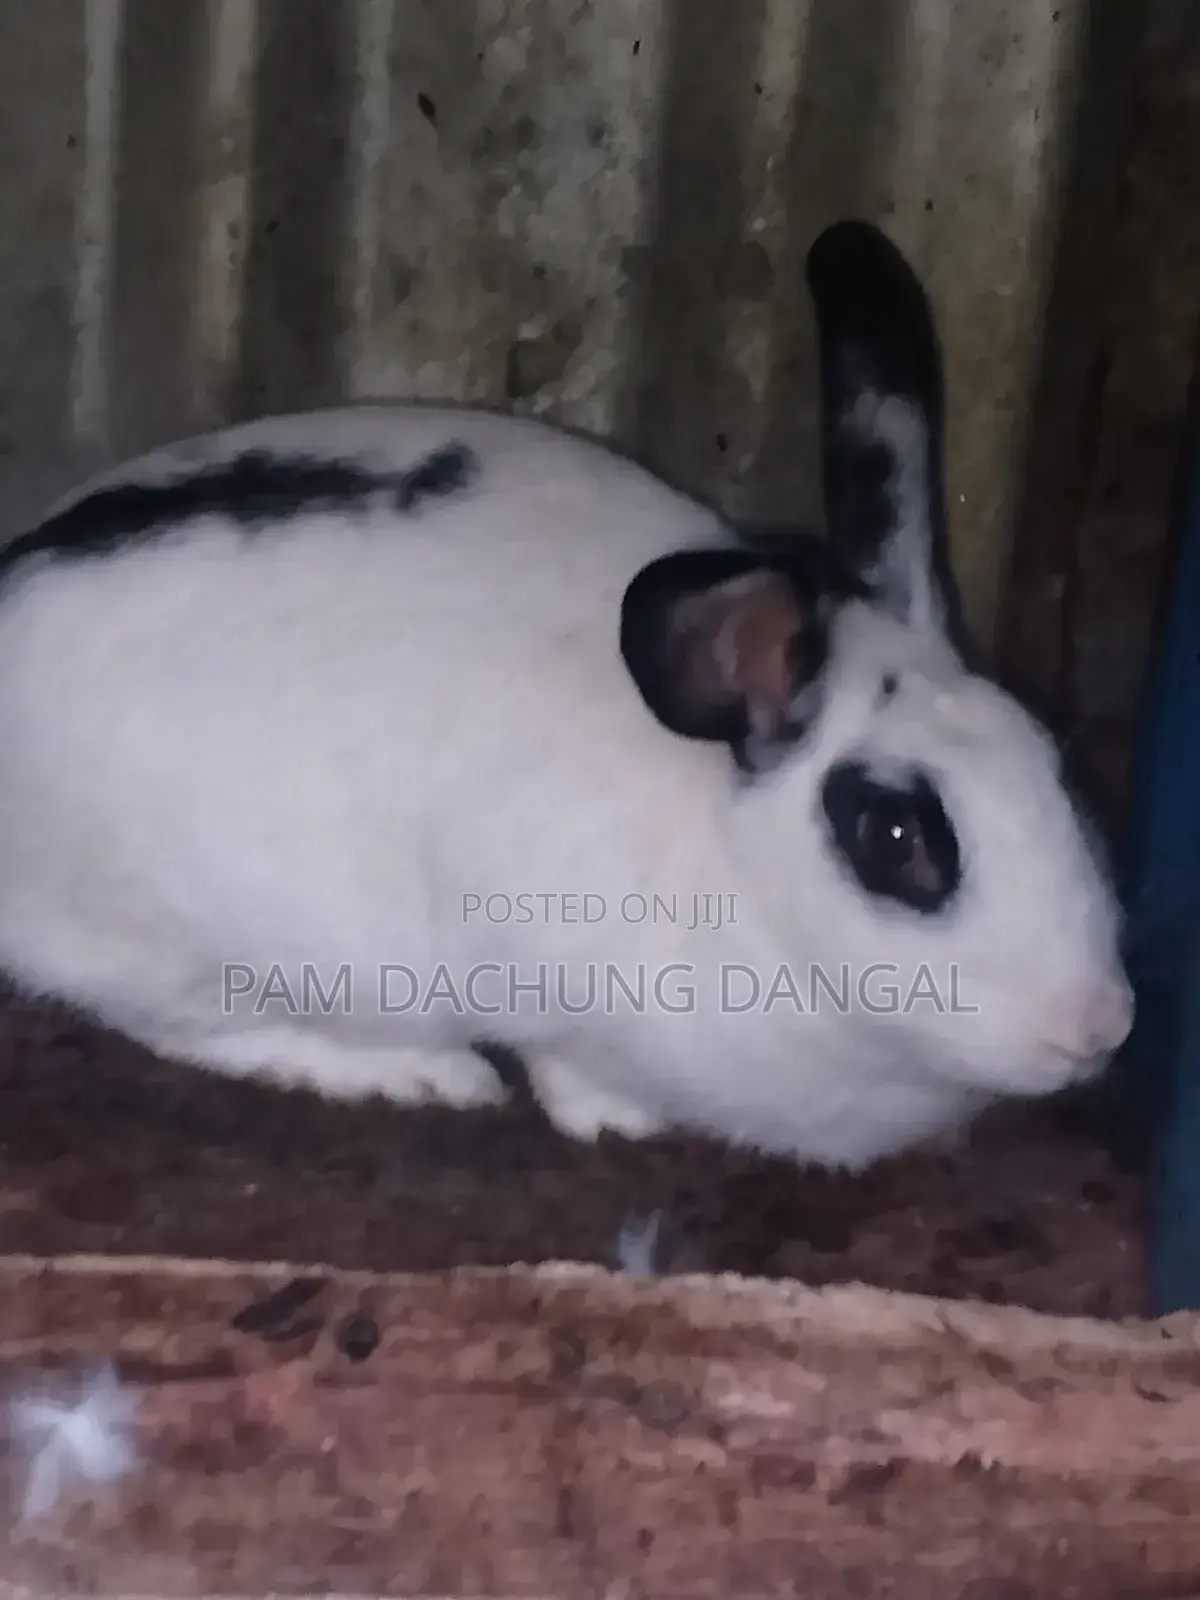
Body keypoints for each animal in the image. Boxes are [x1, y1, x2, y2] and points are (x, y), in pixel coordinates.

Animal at [0, 218, 1133, 1170]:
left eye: (1056, 767)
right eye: (895, 837)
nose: (1098, 1027)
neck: (731, 861)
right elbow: (566, 1063)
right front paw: (619, 1118)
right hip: (209, 937)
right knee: (190, 1024)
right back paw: (428, 1074)